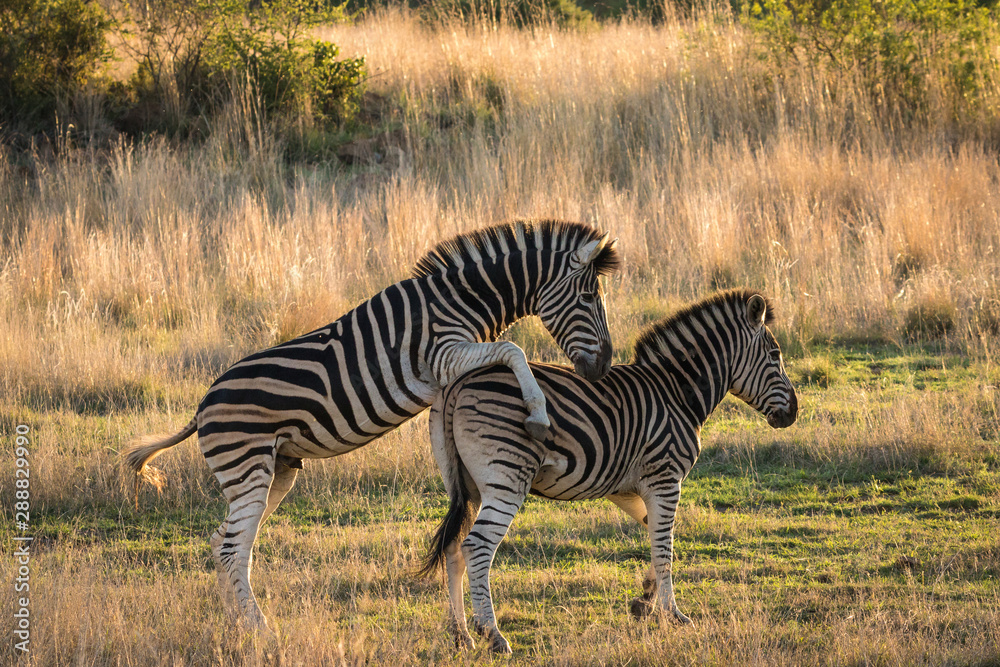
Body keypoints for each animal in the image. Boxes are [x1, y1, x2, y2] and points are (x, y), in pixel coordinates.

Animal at [123, 219, 621, 628]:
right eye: (588, 298)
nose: (603, 369)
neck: (463, 298)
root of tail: (202, 405)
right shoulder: (443, 355)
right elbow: (514, 349)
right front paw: (537, 413)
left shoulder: (450, 370)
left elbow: (501, 361)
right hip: (247, 467)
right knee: (231, 548)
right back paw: (259, 629)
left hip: (275, 471)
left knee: (225, 543)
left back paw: (237, 624)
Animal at [420, 289, 798, 653]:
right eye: (775, 355)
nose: (794, 412)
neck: (676, 392)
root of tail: (457, 384)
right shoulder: (665, 478)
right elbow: (665, 548)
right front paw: (673, 615)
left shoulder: (627, 487)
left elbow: (656, 538)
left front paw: (644, 601)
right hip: (506, 477)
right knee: (476, 547)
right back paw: (492, 634)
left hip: (465, 485)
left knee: (453, 549)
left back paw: (461, 635)